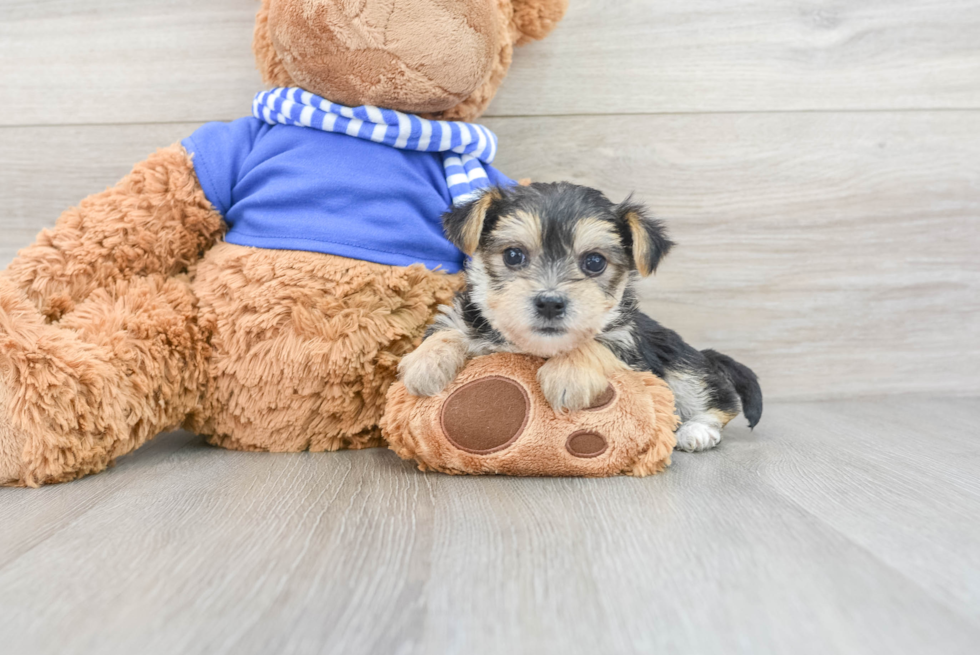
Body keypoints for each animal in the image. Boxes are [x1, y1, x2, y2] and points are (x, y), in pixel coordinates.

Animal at [394, 183, 760, 452]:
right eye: (513, 255)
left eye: (594, 262)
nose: (550, 303)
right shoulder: (467, 316)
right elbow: (449, 328)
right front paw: (425, 362)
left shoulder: (626, 343)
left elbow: (595, 343)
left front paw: (568, 375)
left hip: (680, 364)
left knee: (715, 399)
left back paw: (696, 431)